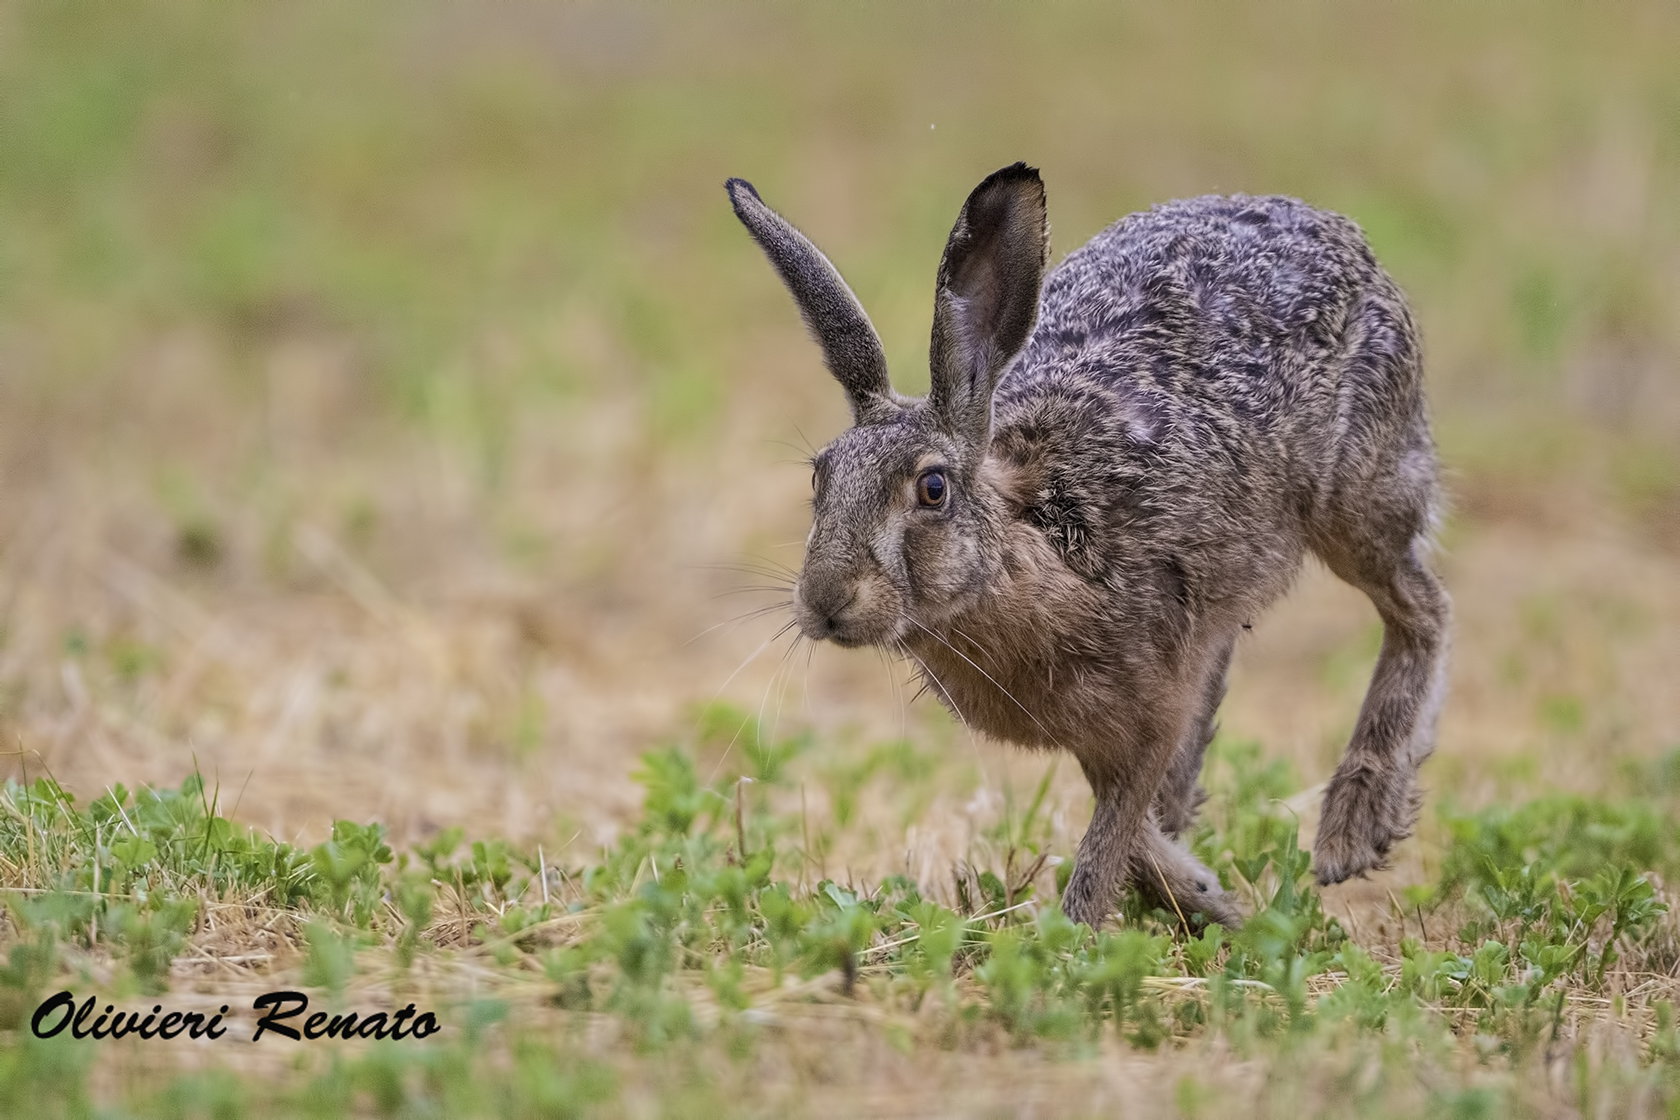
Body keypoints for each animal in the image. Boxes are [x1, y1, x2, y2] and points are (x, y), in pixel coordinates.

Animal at [725, 162, 1450, 930]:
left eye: (932, 488)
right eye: (820, 476)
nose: (825, 601)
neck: (1021, 552)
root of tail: (1344, 238)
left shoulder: (1147, 713)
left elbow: (1109, 840)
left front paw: (1083, 934)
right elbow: (1131, 832)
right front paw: (1207, 895)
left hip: (1354, 501)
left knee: (1423, 609)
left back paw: (1352, 829)